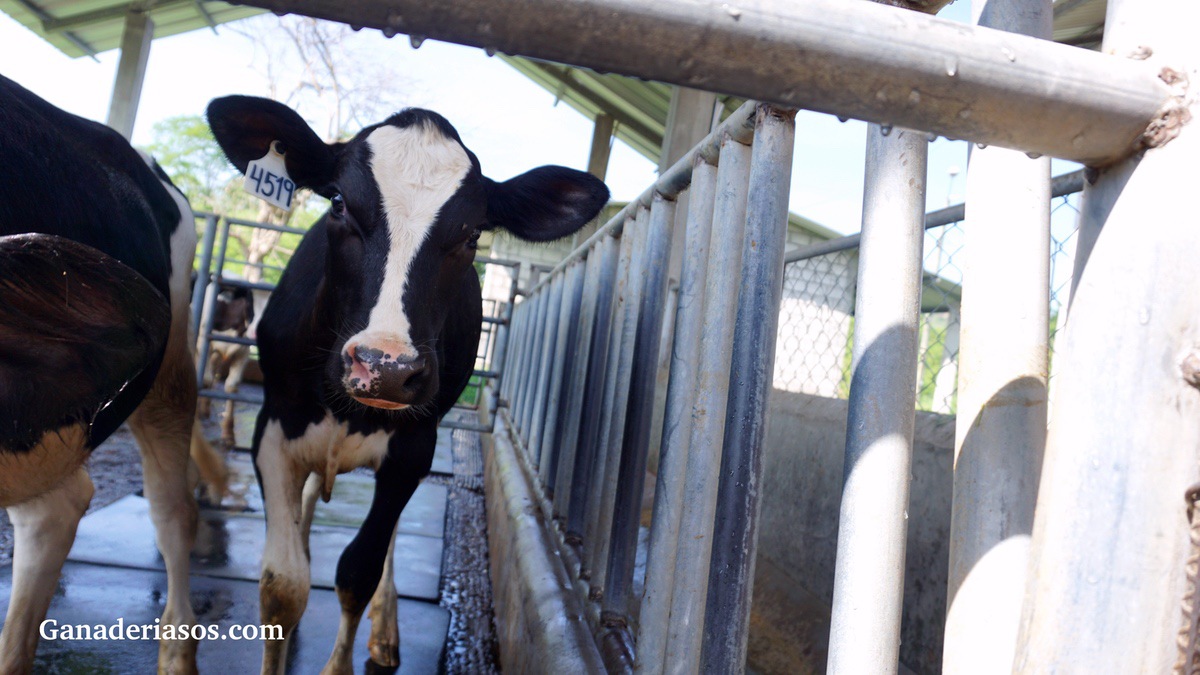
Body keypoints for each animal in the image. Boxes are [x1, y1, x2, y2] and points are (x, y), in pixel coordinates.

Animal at [205, 96, 609, 672]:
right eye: (338, 204)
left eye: (473, 233)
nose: (386, 367)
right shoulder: (275, 428)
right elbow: (283, 584)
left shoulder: (414, 449)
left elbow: (359, 571)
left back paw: (385, 628)